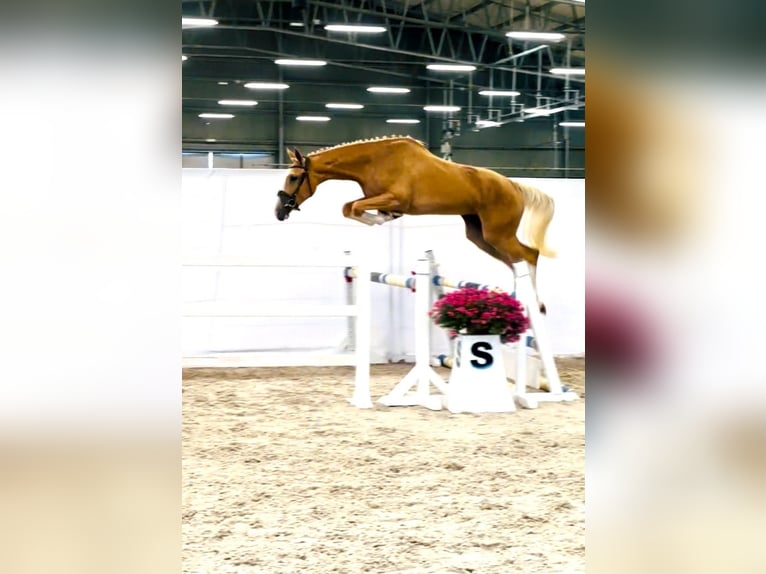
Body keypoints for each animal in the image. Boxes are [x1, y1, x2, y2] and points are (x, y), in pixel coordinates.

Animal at [274, 135, 556, 313]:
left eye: (294, 177)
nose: (279, 212)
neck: (375, 161)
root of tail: (514, 185)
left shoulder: (395, 197)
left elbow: (353, 208)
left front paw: (380, 219)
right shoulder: (377, 198)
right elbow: (349, 208)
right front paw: (383, 218)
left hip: (498, 234)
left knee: (530, 254)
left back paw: (537, 304)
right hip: (480, 236)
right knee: (515, 262)